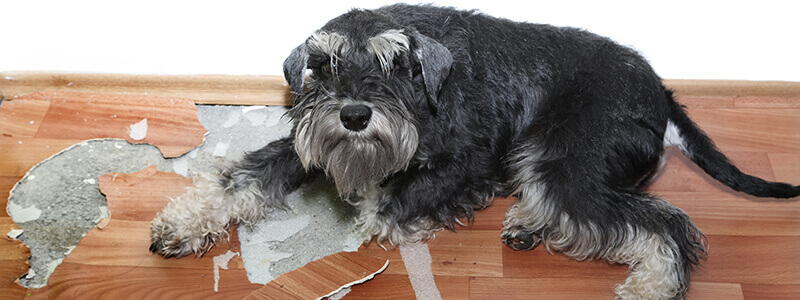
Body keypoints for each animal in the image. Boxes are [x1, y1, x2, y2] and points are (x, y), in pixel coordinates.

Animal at [152, 3, 800, 298]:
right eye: (325, 64)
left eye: (395, 62)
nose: (355, 115)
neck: (427, 92)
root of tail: (662, 91)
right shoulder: (299, 144)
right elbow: (240, 178)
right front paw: (183, 223)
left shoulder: (465, 166)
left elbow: (383, 207)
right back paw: (527, 226)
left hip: (563, 162)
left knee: (665, 224)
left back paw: (651, 286)